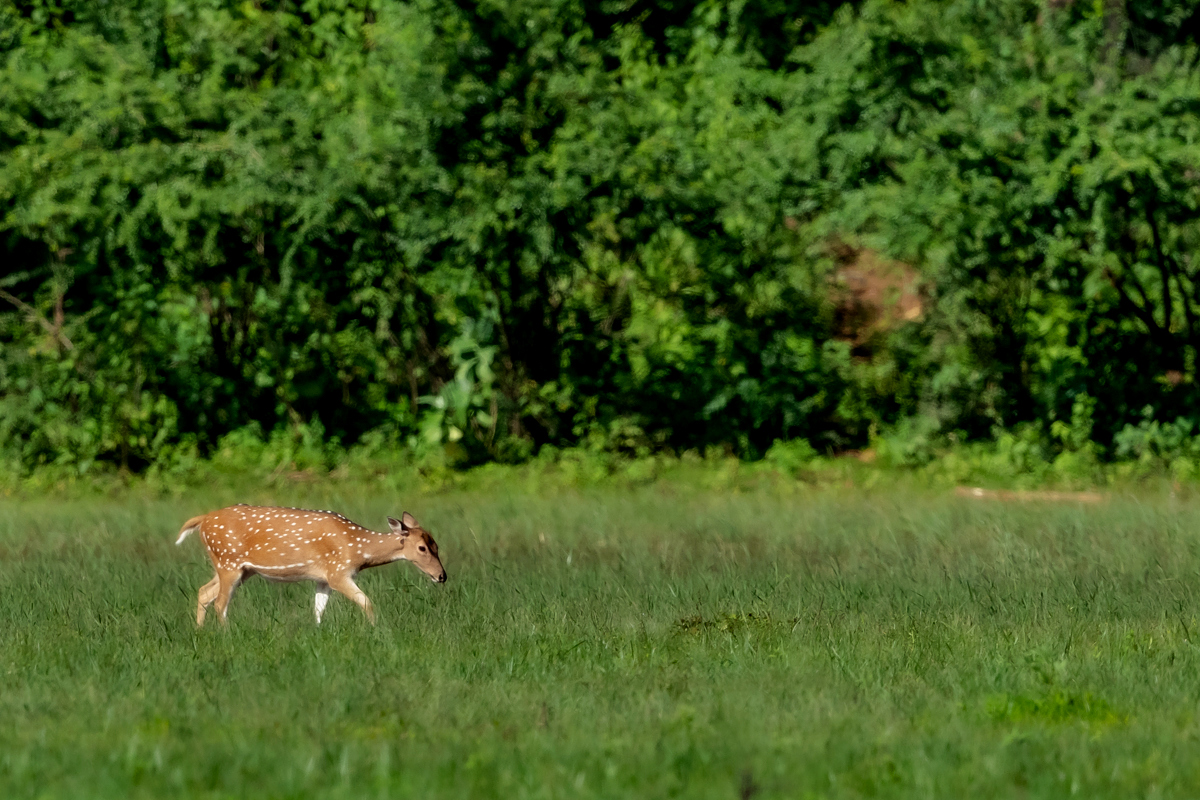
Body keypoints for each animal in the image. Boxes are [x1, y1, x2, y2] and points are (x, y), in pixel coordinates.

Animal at [175, 505, 446, 626]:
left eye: (437, 545)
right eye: (422, 548)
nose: (442, 576)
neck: (357, 548)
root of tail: (203, 520)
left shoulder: (322, 579)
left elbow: (317, 611)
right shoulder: (338, 573)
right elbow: (367, 602)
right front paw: (376, 630)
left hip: (239, 569)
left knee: (204, 592)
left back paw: (200, 632)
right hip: (228, 562)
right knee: (220, 603)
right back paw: (226, 635)